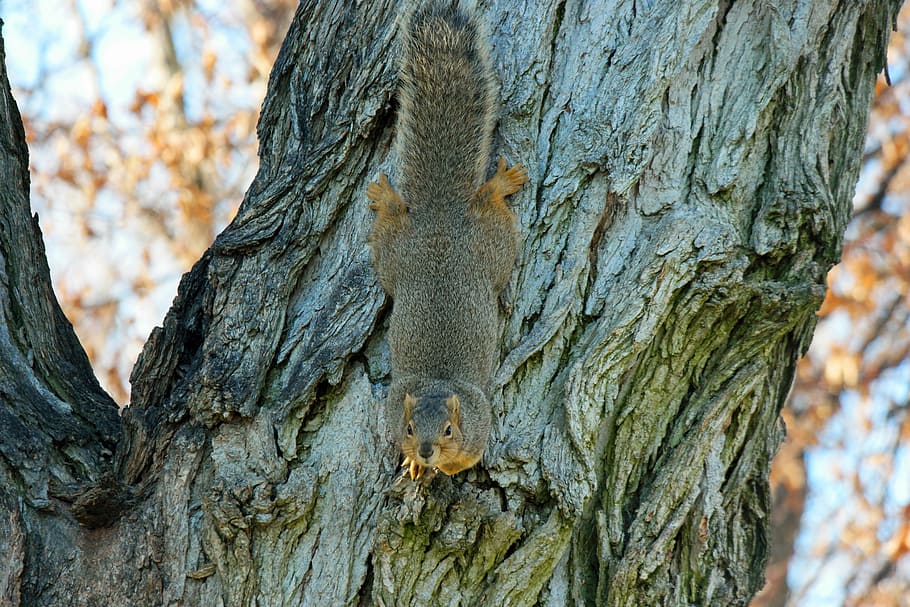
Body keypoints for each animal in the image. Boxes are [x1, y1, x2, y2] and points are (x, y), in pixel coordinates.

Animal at [367, 1, 527, 481]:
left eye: (449, 430)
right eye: (409, 426)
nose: (425, 451)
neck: (438, 383)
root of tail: (440, 215)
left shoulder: (480, 423)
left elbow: (466, 461)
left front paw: (444, 468)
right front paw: (411, 464)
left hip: (492, 246)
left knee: (490, 207)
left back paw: (498, 185)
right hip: (396, 256)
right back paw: (387, 197)